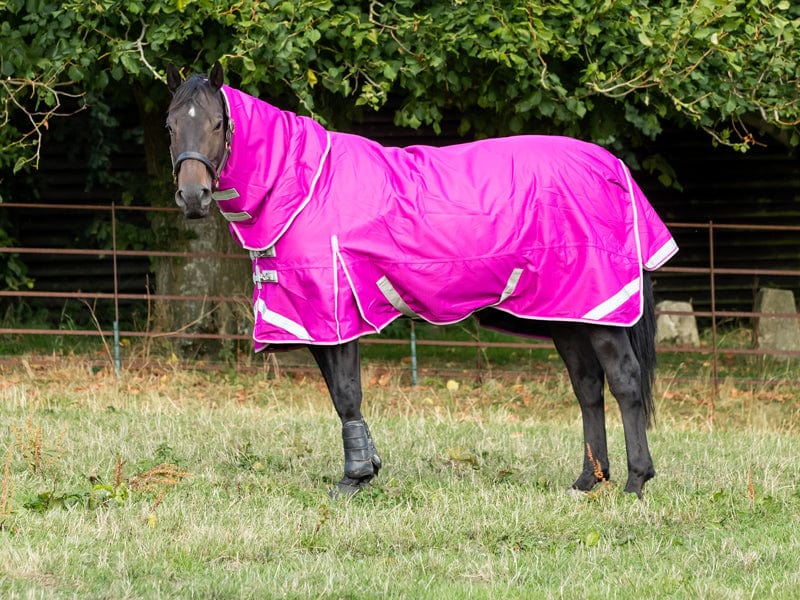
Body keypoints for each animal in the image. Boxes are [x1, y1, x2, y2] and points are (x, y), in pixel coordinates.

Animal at [165, 62, 677, 498]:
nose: (193, 196)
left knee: (625, 381)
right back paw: (587, 481)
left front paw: (354, 480)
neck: (306, 187)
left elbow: (347, 393)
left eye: (217, 124)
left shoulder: (336, 313)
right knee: (587, 387)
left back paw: (635, 482)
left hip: (600, 311)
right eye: (171, 126)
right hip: (566, 312)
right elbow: (337, 395)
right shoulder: (313, 319)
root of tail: (613, 169)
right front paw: (367, 467)